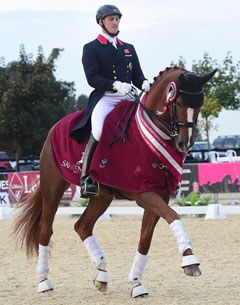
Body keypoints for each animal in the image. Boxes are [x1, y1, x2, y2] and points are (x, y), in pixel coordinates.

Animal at [12, 66, 216, 296]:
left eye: (199, 104)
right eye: (179, 102)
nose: (184, 143)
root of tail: (55, 127)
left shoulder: (159, 194)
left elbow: (145, 238)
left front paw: (136, 283)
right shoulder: (143, 193)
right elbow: (173, 215)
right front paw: (190, 260)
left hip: (102, 196)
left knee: (82, 226)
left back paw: (101, 274)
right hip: (53, 188)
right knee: (45, 229)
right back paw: (43, 281)